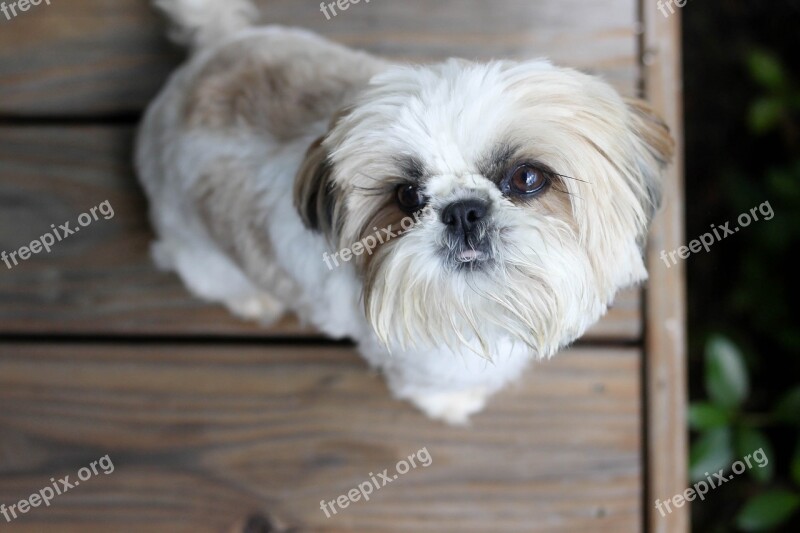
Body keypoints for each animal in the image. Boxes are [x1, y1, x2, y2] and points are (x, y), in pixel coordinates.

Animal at [138, 0, 676, 424]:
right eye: (408, 196)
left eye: (527, 178)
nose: (463, 211)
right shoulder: (426, 367)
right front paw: (455, 404)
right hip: (198, 255)